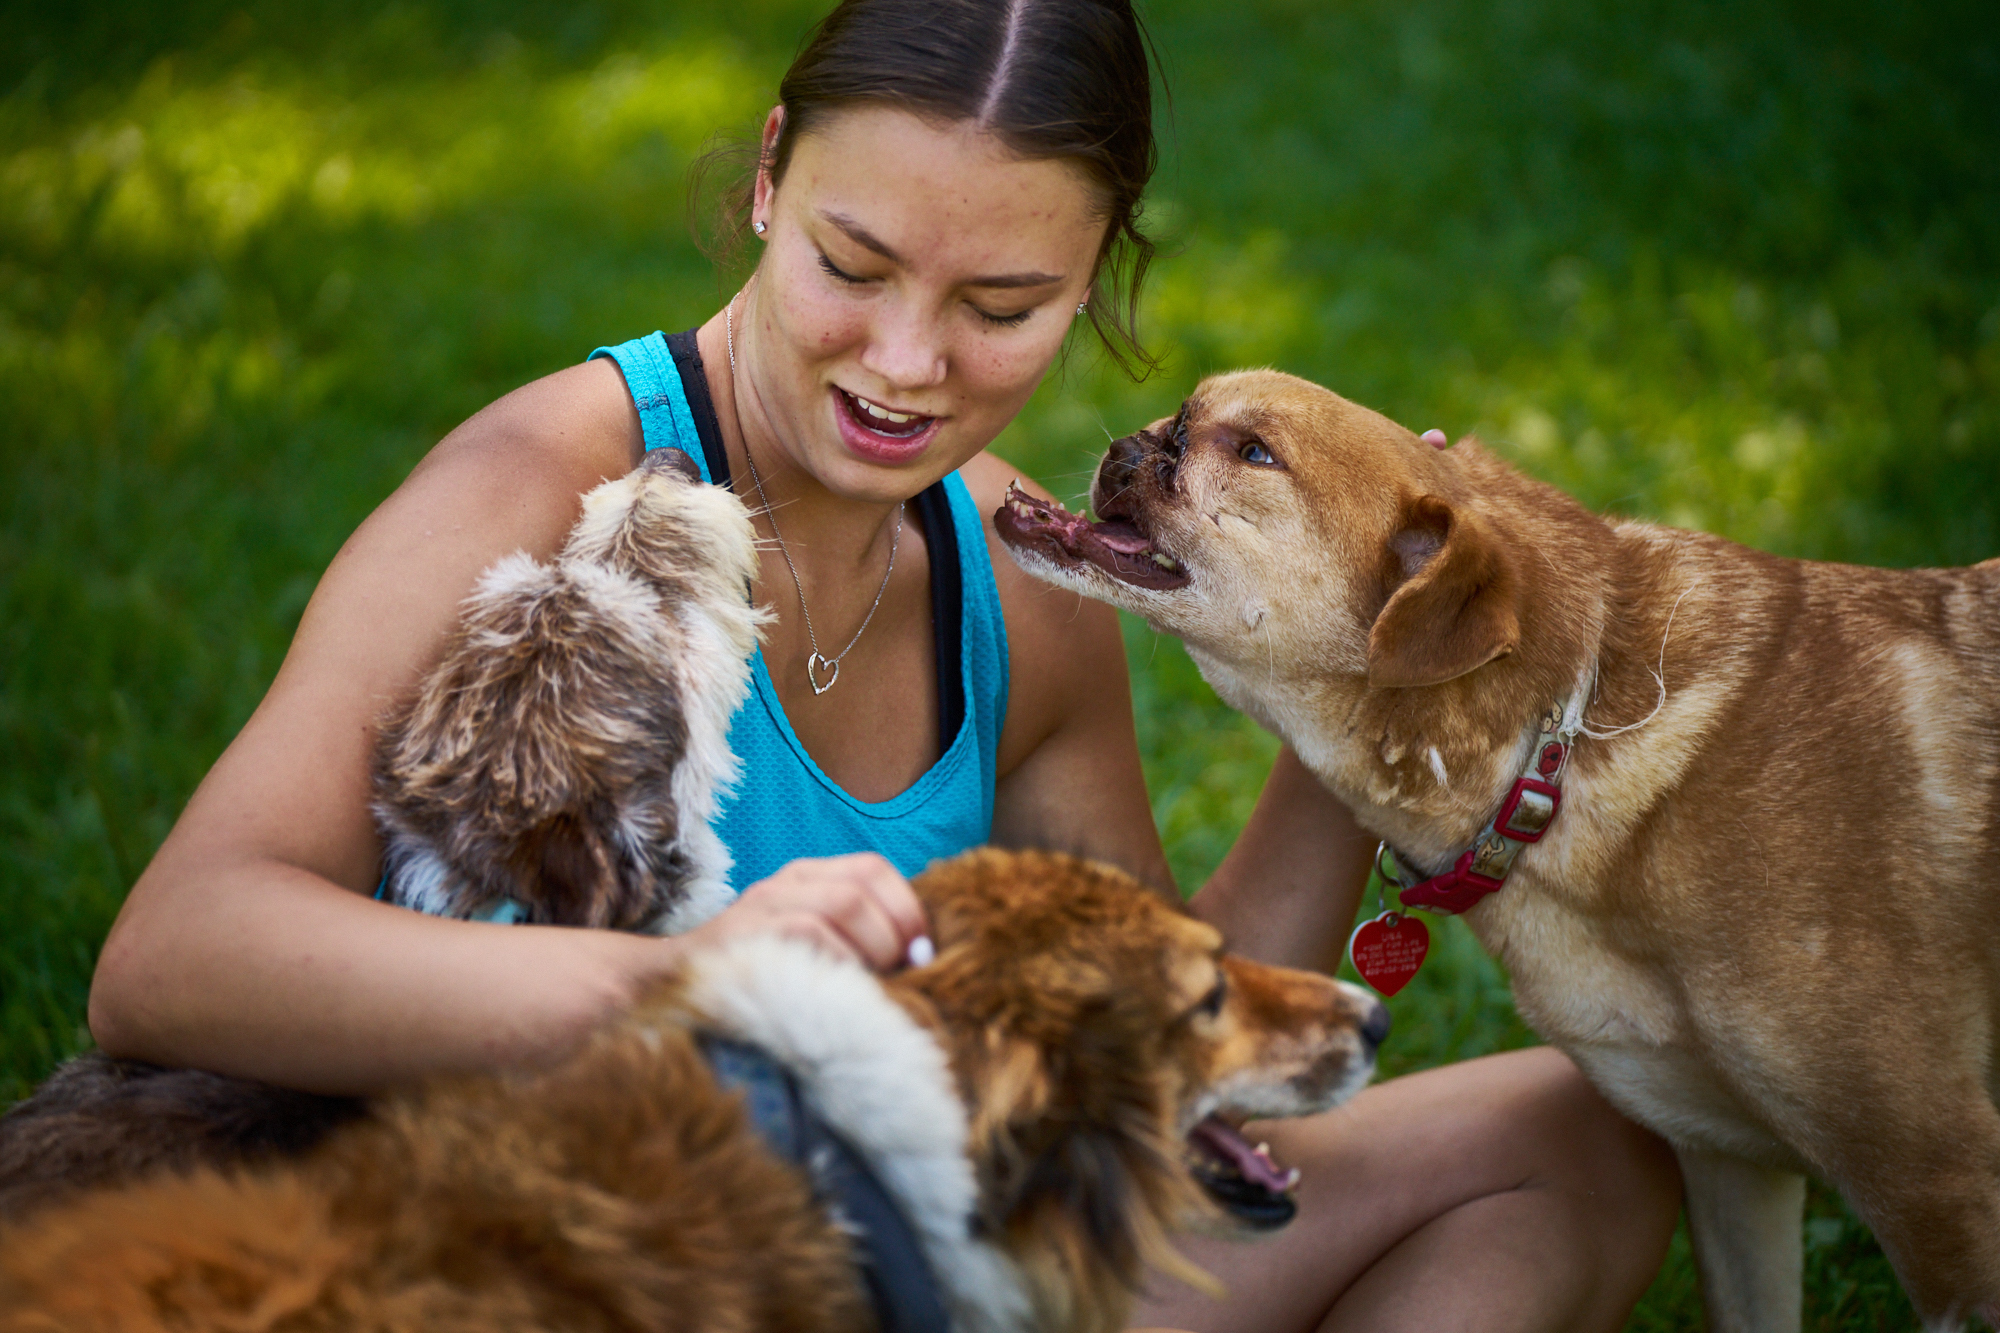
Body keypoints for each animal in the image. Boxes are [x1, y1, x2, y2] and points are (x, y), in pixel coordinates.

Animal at [996, 370, 2000, 1328]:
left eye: (1252, 453)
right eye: (1184, 409)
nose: (1136, 442)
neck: (1561, 744)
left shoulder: (1939, 1186)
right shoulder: (1726, 1163)